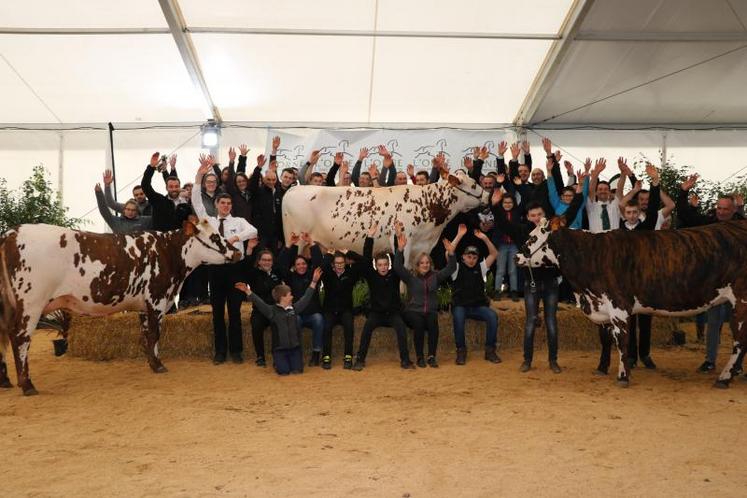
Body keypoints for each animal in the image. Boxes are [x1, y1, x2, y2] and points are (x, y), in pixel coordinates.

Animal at [0, 220, 240, 394]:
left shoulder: (144, 306)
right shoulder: (156, 300)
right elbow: (155, 335)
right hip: (32, 303)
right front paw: (159, 365)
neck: (169, 252)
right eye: (215, 236)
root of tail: (12, 233)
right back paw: (27, 385)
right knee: (20, 338)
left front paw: (152, 363)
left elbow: (146, 336)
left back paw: (5, 381)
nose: (237, 252)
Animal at [284, 170, 488, 266]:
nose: (487, 195)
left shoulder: (422, 246)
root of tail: (294, 189)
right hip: (295, 239)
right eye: (473, 184)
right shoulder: (403, 241)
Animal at [516, 219, 747, 390]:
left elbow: (622, 341)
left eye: (533, 236)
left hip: (741, 301)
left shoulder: (618, 306)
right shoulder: (603, 308)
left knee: (740, 341)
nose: (517, 256)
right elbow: (606, 340)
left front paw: (623, 376)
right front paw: (602, 368)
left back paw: (724, 378)